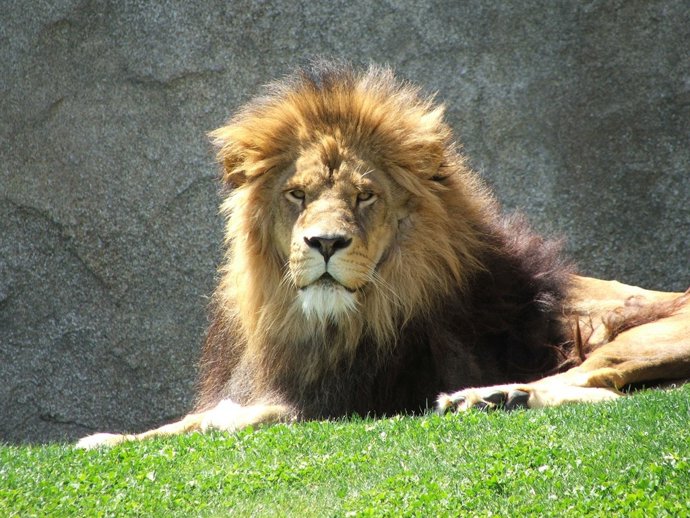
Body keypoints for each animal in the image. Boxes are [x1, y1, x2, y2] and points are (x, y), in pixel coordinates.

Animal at [77, 62, 690, 449]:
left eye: (364, 196)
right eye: (297, 194)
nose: (325, 243)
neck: (320, 325)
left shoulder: (356, 398)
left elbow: (242, 417)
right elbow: (180, 423)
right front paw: (108, 437)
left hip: (650, 335)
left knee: (596, 382)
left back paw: (489, 396)